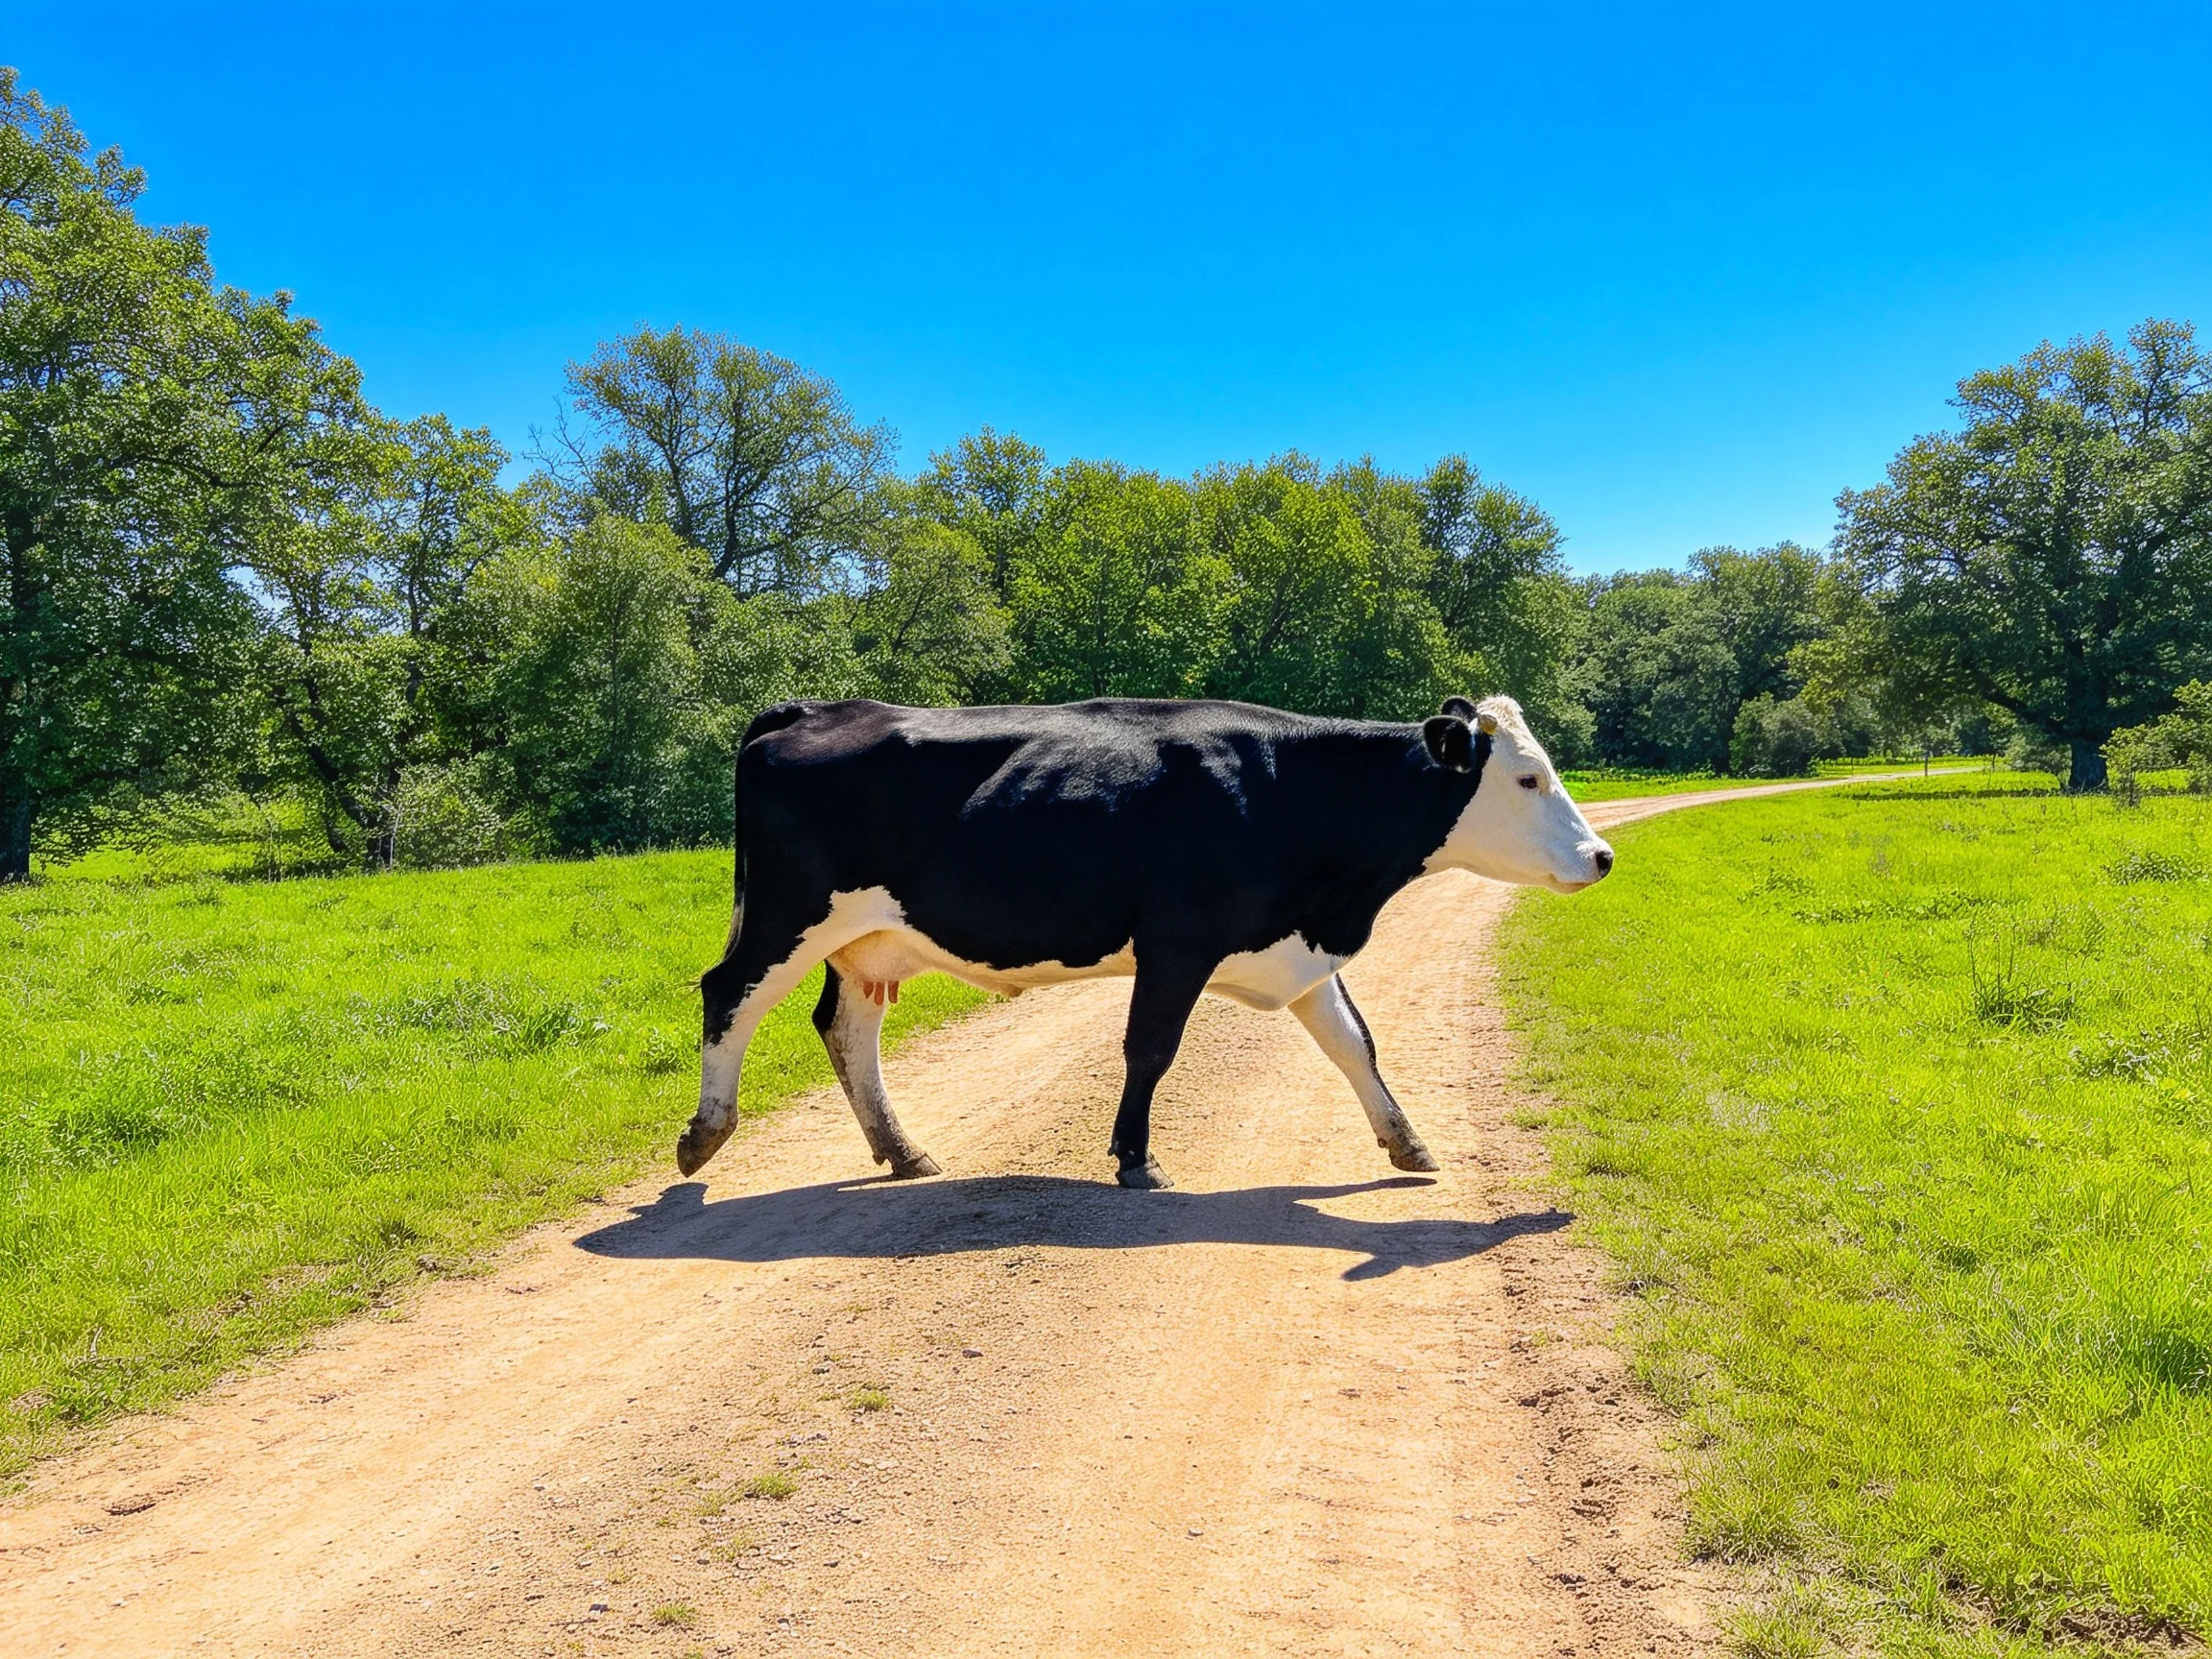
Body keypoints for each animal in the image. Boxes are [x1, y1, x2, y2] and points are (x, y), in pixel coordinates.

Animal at [682, 693, 1613, 1191]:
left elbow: (1356, 1044)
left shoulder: (1298, 945)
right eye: (1528, 778)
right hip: (786, 915)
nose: (1602, 856)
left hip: (870, 938)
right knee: (727, 993)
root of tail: (817, 708)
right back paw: (706, 1133)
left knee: (846, 1027)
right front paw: (1135, 1158)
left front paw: (1408, 1142)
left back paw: (902, 1150)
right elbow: (1150, 1050)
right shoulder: (1177, 942)